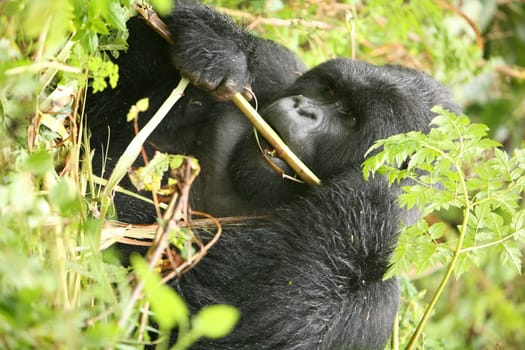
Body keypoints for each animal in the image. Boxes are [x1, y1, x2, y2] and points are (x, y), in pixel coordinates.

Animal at [86, 0, 458, 350]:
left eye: (350, 118)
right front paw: (216, 44)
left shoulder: (365, 282)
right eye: (329, 91)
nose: (303, 109)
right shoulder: (276, 68)